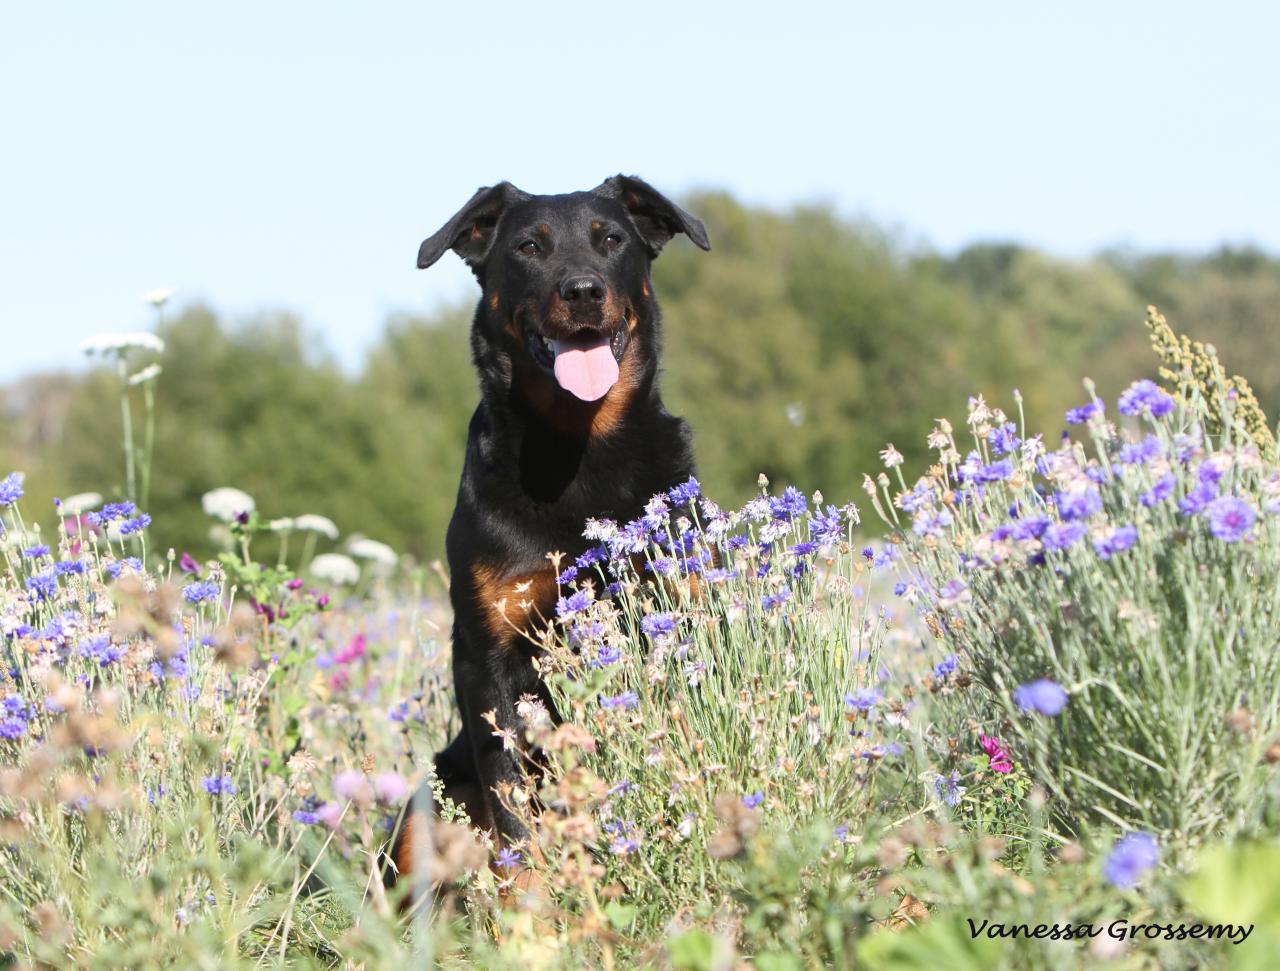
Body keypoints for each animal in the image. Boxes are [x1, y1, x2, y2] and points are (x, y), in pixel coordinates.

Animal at [389, 176, 711, 890]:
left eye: (611, 239)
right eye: (529, 247)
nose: (583, 290)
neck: (576, 449)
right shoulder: (489, 655)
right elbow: (513, 797)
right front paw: (531, 897)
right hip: (426, 806)